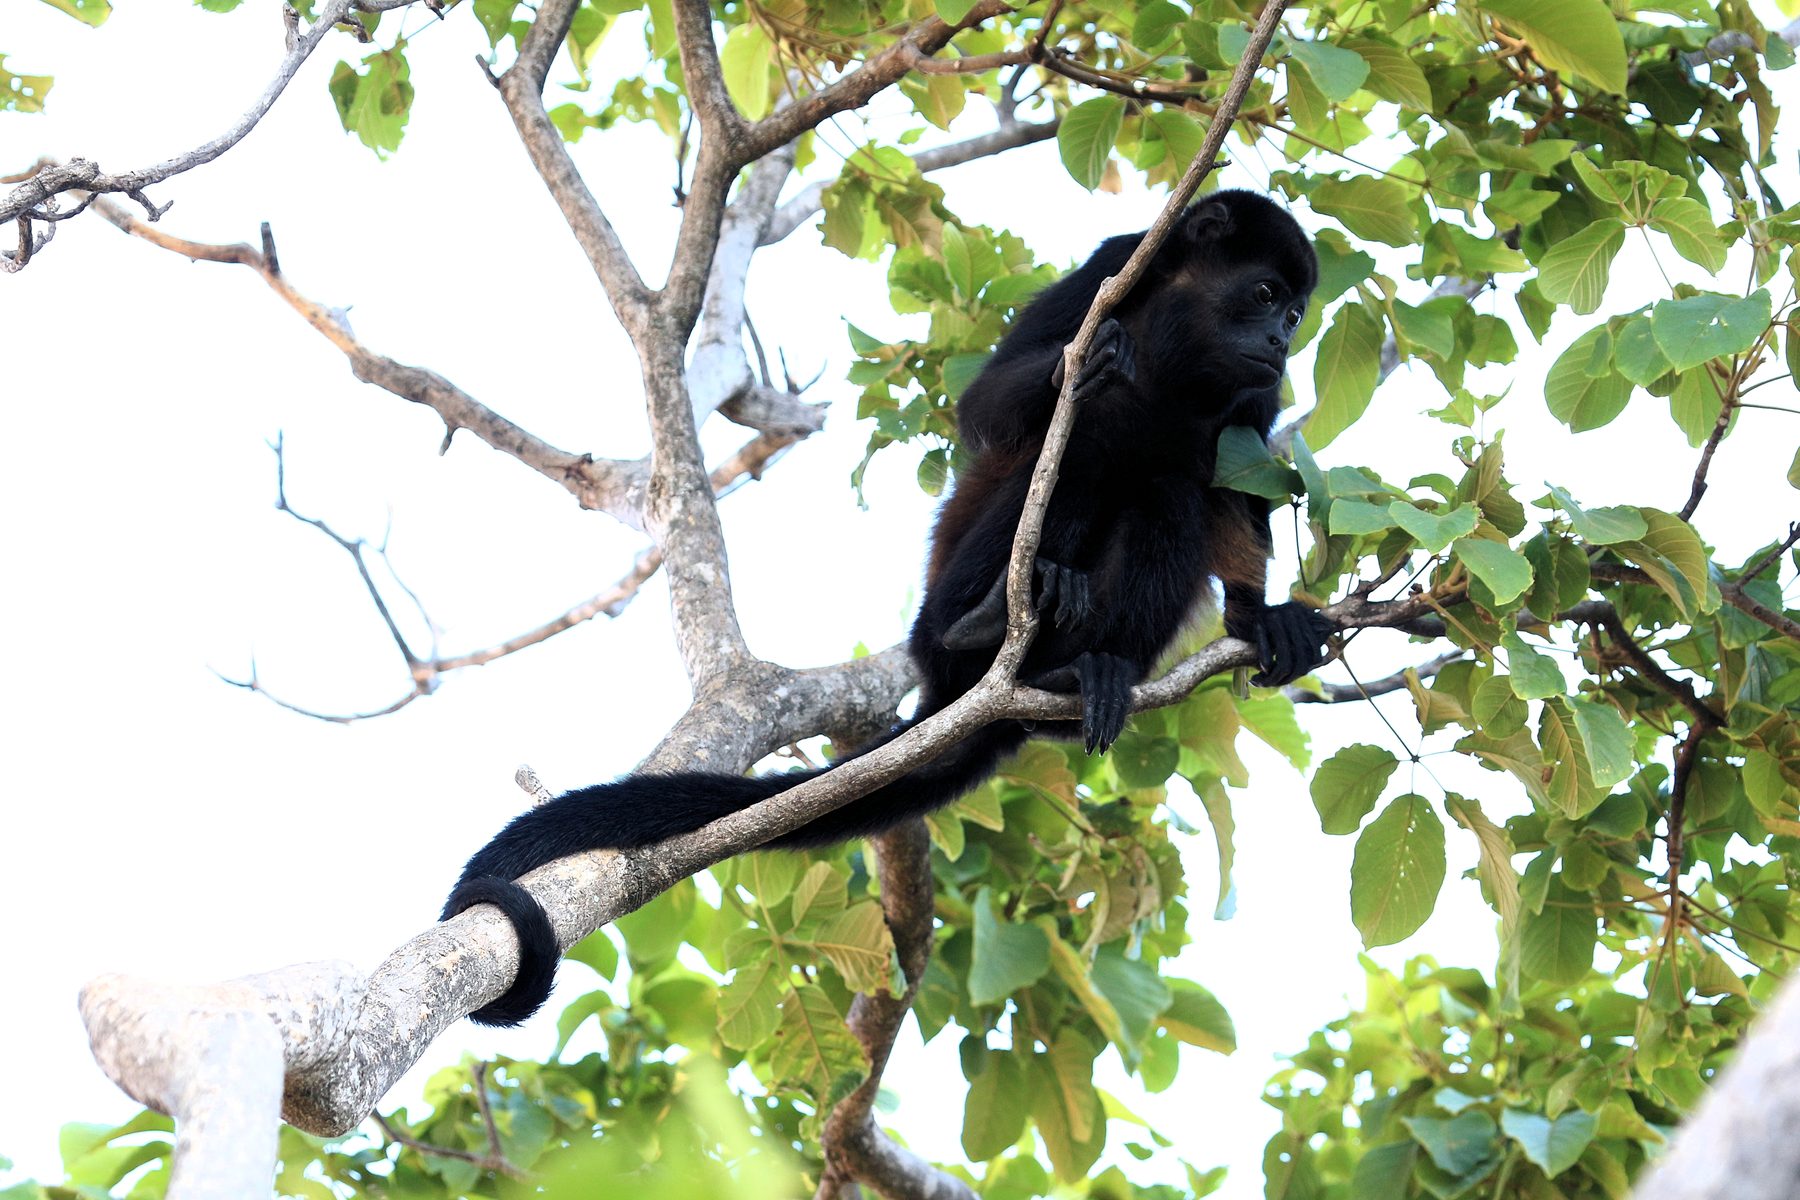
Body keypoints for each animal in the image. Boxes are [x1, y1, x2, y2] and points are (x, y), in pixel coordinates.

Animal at [442, 189, 1330, 1026]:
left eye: (1295, 313)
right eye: (1264, 294)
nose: (1282, 340)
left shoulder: (1256, 391)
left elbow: (1238, 483)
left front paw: (1260, 617)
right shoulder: (1116, 265)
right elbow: (994, 405)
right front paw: (1080, 368)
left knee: (1170, 490)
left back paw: (1089, 670)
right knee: (1097, 439)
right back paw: (983, 620)